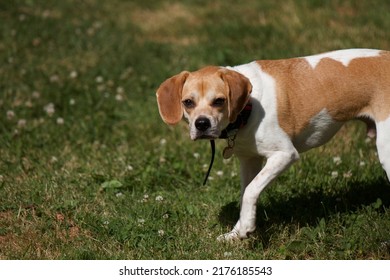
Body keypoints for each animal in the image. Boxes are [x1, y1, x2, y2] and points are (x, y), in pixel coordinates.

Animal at [155, 48, 390, 241]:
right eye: (188, 102)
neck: (248, 107)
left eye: (219, 101)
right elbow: (245, 194)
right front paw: (237, 232)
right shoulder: (249, 160)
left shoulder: (284, 155)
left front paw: (246, 228)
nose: (201, 123)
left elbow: (251, 191)